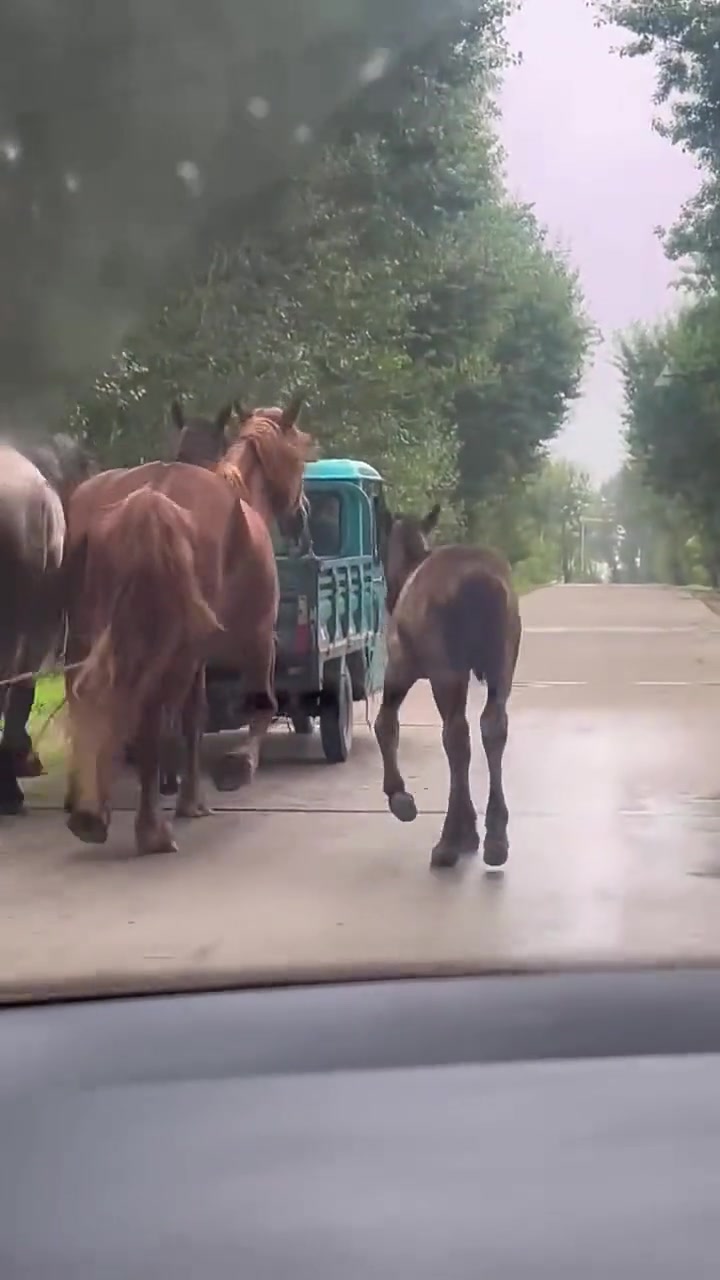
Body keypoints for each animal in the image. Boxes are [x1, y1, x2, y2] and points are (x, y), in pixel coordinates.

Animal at [63, 396, 314, 855]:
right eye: (299, 458)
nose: (300, 516)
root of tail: (149, 504)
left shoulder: (198, 655)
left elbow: (193, 718)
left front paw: (191, 799)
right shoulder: (256, 636)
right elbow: (261, 704)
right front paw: (237, 766)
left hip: (95, 635)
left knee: (93, 700)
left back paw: (90, 808)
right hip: (168, 646)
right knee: (147, 717)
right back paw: (150, 830)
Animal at [374, 503, 521, 870]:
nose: (387, 597)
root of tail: (484, 584)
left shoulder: (400, 666)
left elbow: (384, 723)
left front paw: (400, 797)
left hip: (446, 671)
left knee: (456, 735)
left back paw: (449, 841)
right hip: (502, 665)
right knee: (492, 726)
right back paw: (495, 837)